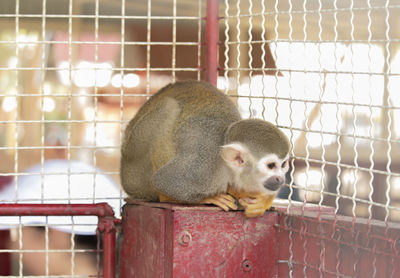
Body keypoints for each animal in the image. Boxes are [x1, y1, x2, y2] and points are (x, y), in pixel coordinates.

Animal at [120, 80, 290, 217]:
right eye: (271, 166)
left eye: (283, 165)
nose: (280, 179)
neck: (227, 168)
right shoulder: (204, 169)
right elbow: (164, 180)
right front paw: (210, 198)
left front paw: (263, 201)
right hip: (134, 172)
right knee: (169, 108)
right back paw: (166, 198)